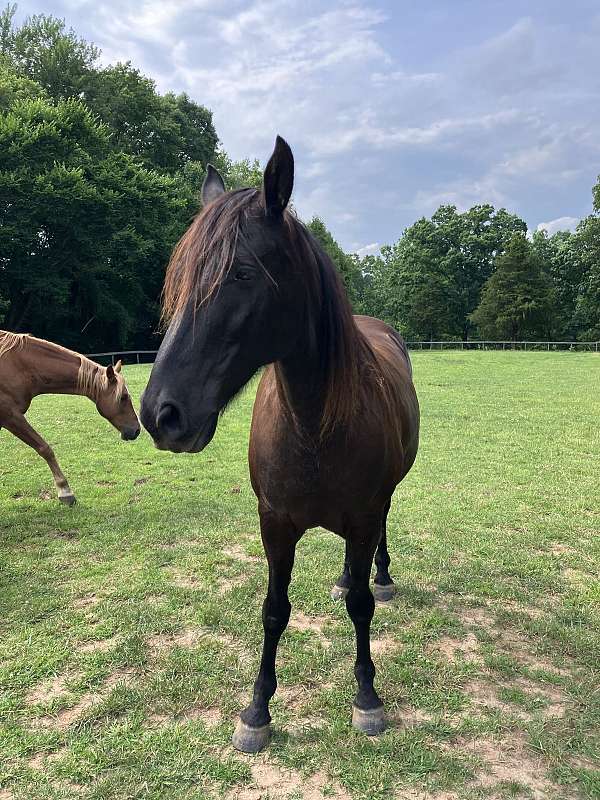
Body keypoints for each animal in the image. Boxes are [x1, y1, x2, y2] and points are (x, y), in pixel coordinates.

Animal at [0, 328, 141, 504]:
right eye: (123, 397)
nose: (137, 429)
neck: (17, 365)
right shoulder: (10, 415)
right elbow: (45, 448)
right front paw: (65, 491)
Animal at [141, 136, 422, 752]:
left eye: (242, 272)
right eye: (180, 276)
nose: (160, 414)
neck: (313, 425)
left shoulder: (363, 516)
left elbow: (362, 608)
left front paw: (367, 697)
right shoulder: (274, 522)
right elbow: (274, 610)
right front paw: (256, 710)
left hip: (381, 504)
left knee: (378, 550)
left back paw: (380, 576)